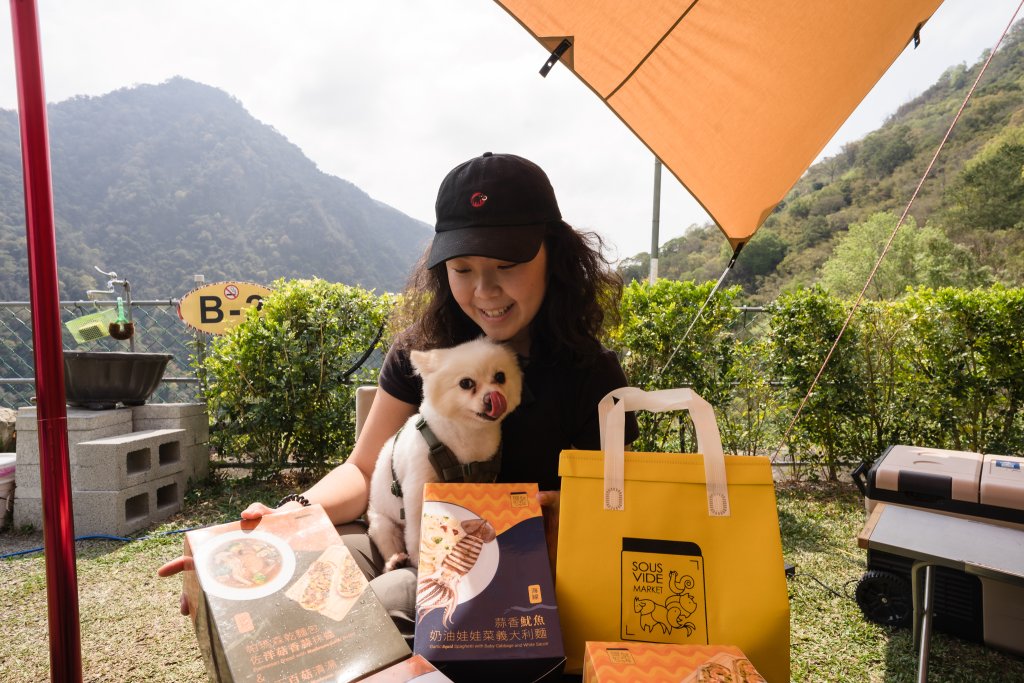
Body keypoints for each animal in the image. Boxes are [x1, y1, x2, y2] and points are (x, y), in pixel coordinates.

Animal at [366, 337, 520, 573]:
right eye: (466, 383)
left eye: (500, 377)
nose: (493, 397)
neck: (467, 434)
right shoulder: (417, 488)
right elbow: (416, 530)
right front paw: (418, 559)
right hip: (381, 524)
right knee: (389, 544)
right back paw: (396, 560)